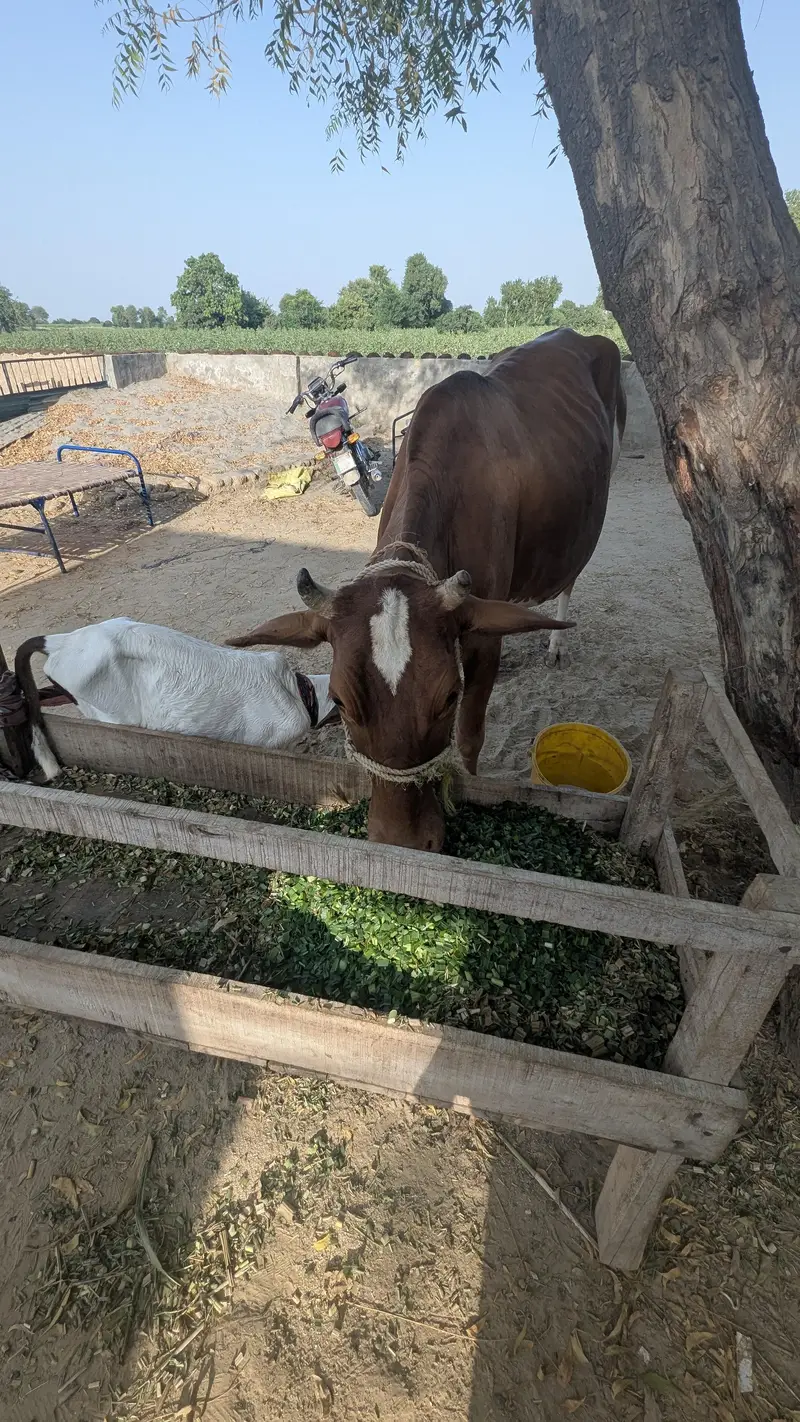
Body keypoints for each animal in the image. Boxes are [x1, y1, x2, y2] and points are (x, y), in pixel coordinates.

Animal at [227, 330, 626, 851]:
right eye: (339, 700)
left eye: (449, 698)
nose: (404, 841)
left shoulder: (482, 636)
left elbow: (471, 738)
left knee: (571, 575)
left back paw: (557, 640)